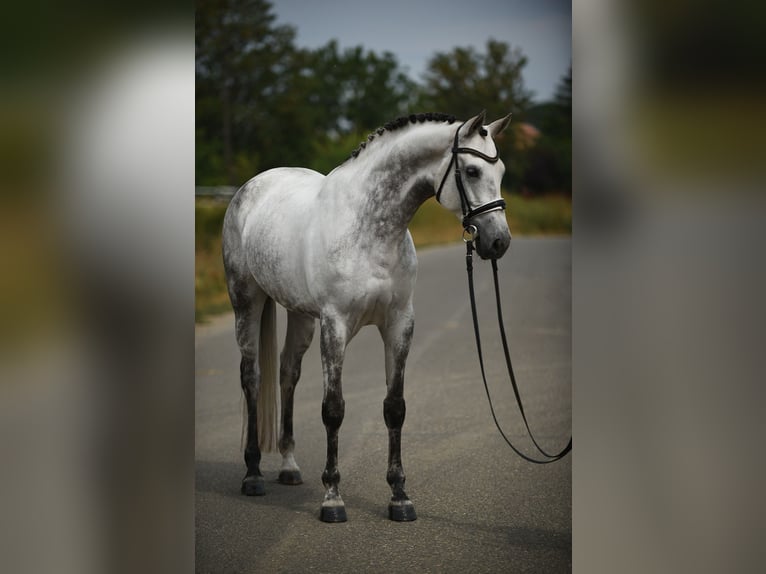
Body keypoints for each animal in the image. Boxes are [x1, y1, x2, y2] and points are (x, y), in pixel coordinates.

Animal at [224, 110, 516, 524]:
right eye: (473, 171)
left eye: (501, 170)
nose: (498, 242)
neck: (369, 229)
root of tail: (251, 186)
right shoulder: (335, 326)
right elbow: (333, 410)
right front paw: (332, 500)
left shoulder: (399, 325)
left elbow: (395, 408)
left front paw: (400, 497)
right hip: (246, 301)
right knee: (252, 378)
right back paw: (252, 475)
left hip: (300, 316)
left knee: (287, 374)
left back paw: (289, 467)